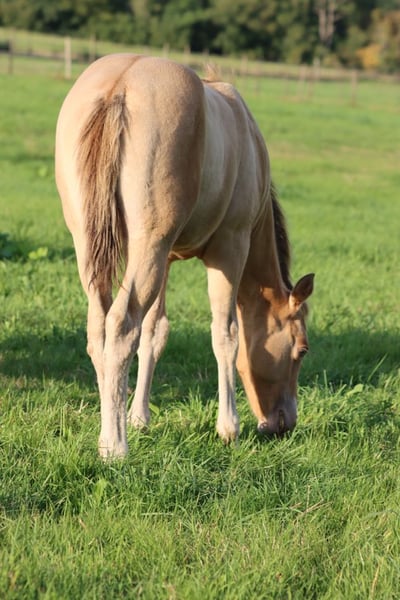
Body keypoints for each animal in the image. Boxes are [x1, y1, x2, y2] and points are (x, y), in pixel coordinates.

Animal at [55, 54, 314, 458]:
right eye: (301, 350)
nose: (282, 425)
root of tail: (119, 86)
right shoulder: (229, 249)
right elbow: (226, 334)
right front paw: (229, 427)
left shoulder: (165, 258)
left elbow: (154, 332)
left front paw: (139, 417)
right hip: (150, 247)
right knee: (121, 326)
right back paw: (114, 446)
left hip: (100, 247)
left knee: (100, 327)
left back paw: (109, 426)